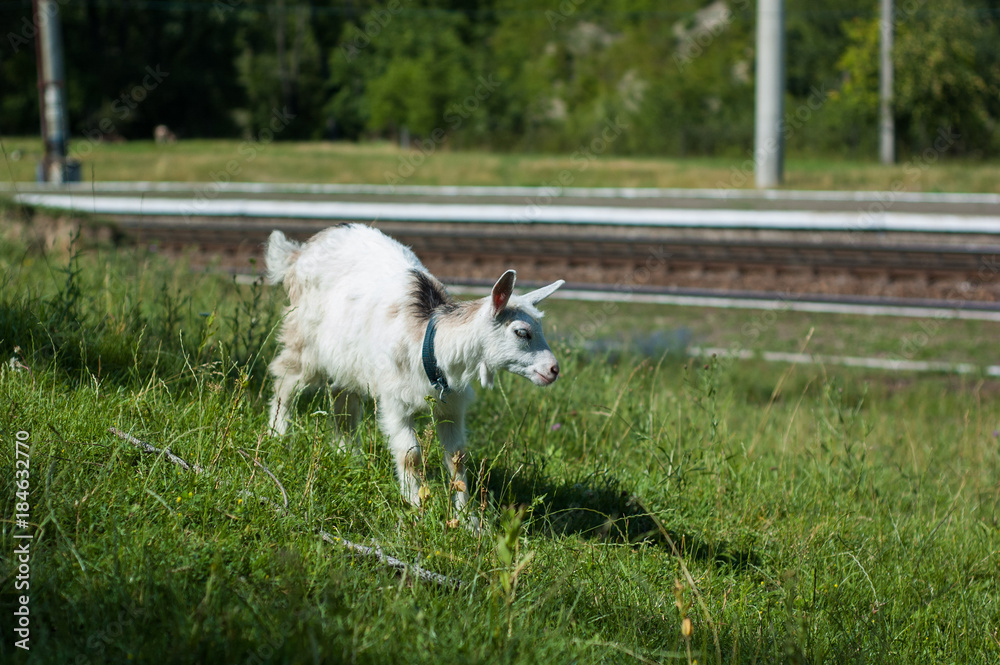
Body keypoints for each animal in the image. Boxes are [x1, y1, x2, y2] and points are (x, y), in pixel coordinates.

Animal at [265, 224, 564, 521]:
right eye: (521, 332)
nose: (553, 370)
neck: (429, 344)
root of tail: (300, 252)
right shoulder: (394, 401)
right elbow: (411, 455)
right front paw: (415, 506)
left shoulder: (451, 407)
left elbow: (457, 458)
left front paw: (466, 518)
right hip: (304, 341)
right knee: (285, 380)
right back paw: (277, 435)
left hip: (347, 360)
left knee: (343, 400)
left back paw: (348, 454)